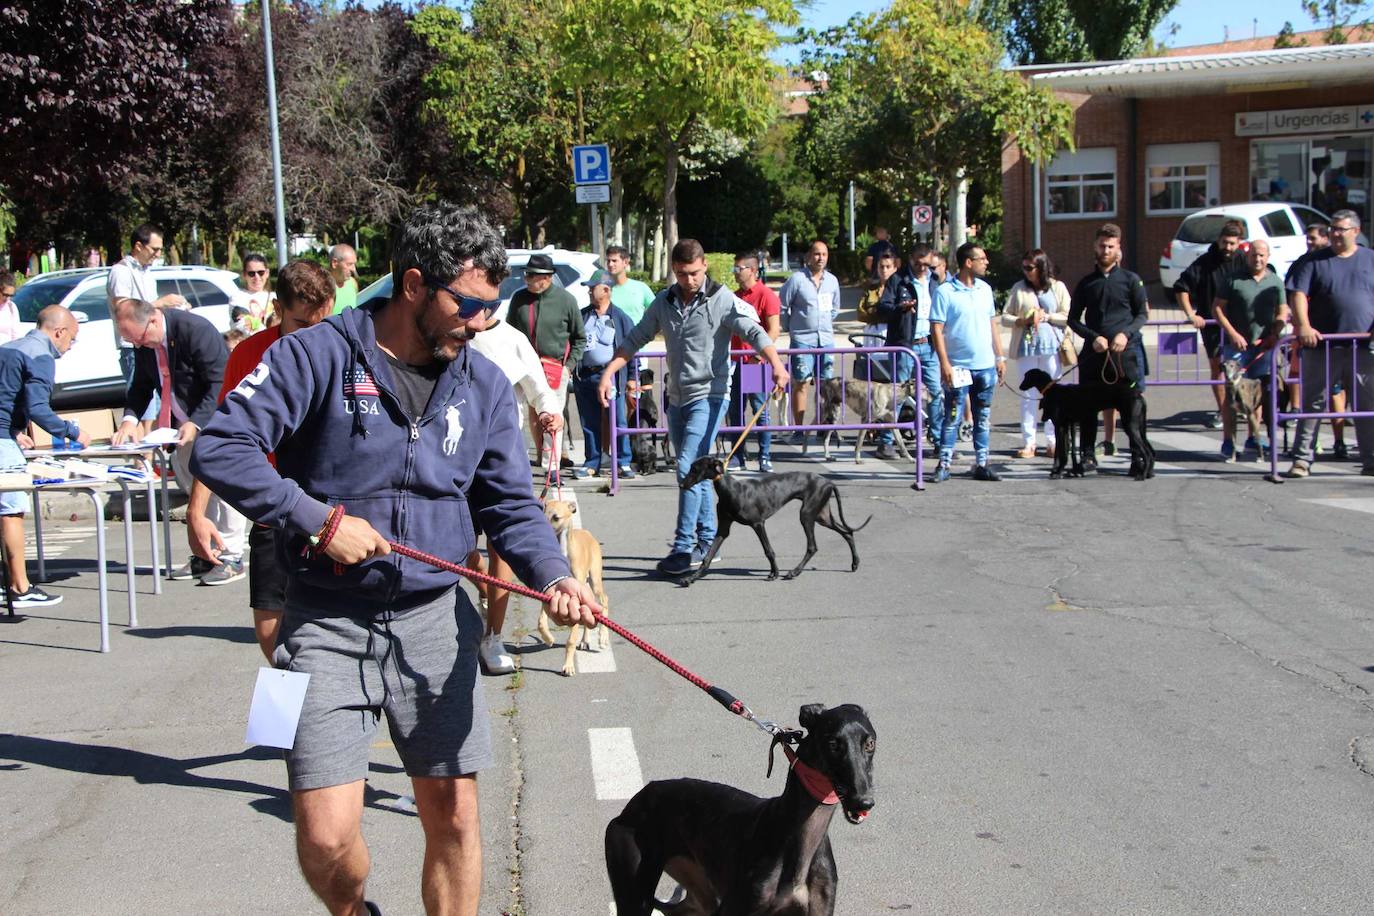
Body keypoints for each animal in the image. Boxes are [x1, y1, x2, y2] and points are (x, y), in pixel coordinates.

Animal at [604, 708, 879, 916]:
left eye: (870, 743)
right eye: (833, 743)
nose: (863, 802)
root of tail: (635, 802)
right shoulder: (738, 907)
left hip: (699, 889)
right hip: (634, 889)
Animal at [676, 455, 868, 585]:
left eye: (695, 468)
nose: (682, 485)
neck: (730, 489)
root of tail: (829, 482)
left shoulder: (758, 524)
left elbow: (769, 550)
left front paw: (774, 573)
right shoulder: (723, 528)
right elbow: (707, 557)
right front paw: (691, 578)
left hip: (806, 515)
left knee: (813, 546)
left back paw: (793, 572)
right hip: (822, 516)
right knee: (847, 532)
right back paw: (855, 563)